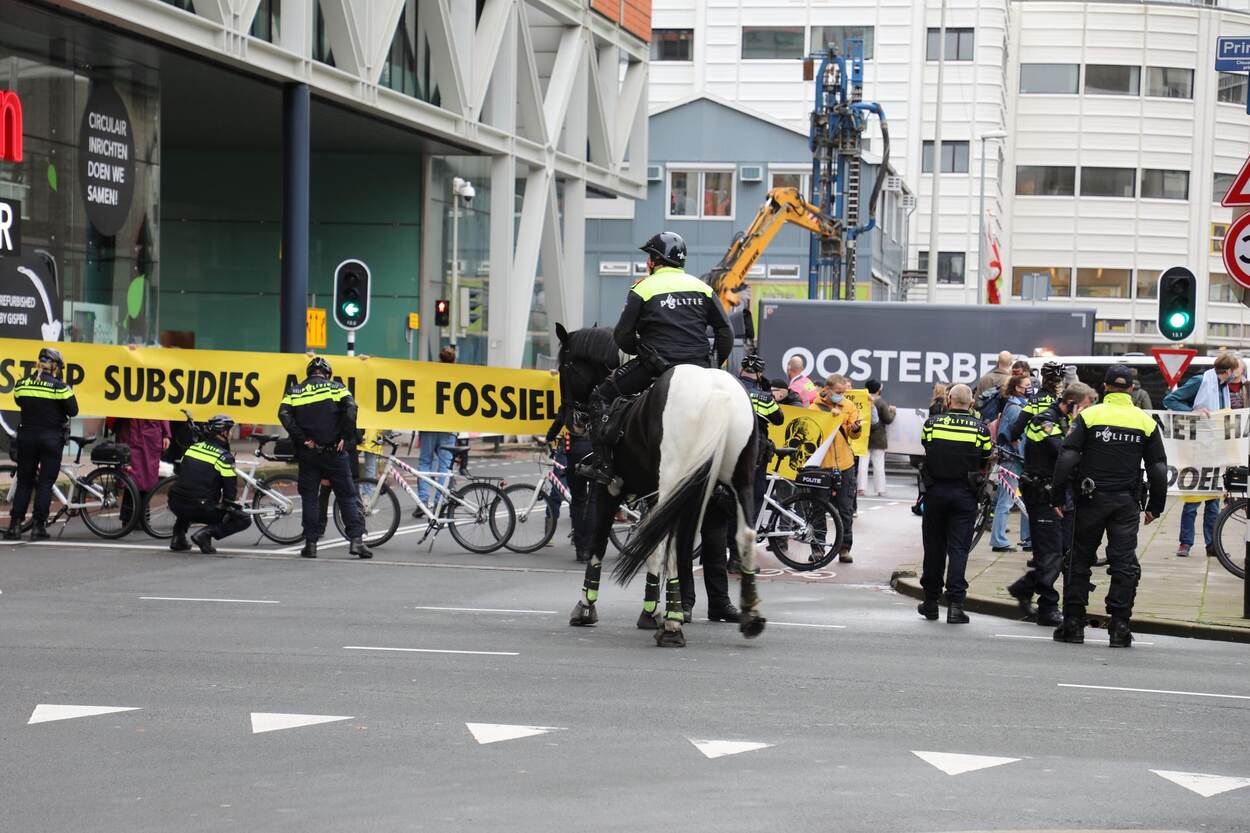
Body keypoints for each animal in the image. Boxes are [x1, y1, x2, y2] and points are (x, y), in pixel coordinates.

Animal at [555, 322, 760, 640]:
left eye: (563, 367)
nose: (571, 420)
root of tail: (716, 393)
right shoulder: (655, 498)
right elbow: (652, 548)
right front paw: (650, 611)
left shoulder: (608, 488)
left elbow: (599, 543)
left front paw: (586, 607)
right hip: (738, 482)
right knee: (744, 535)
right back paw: (750, 614)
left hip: (677, 483)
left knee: (675, 546)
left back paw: (673, 626)